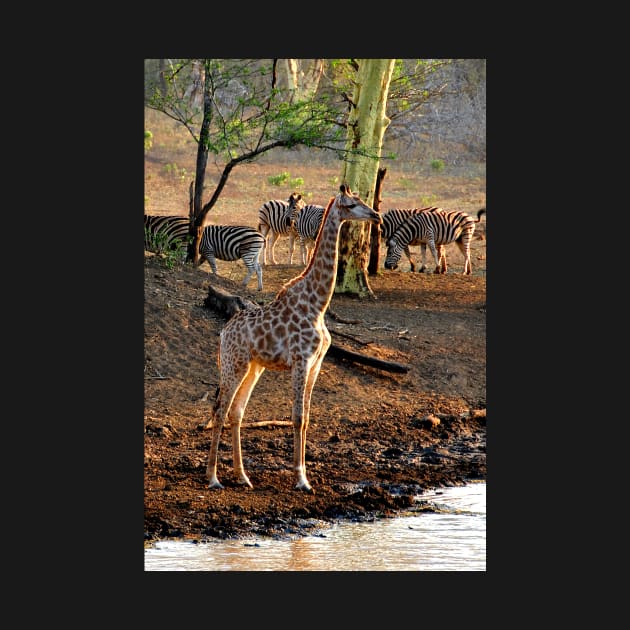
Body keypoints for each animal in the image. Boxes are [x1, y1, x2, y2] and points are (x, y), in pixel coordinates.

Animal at [206, 185, 380, 496]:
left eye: (361, 199)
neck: (317, 304)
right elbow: (297, 417)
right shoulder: (301, 361)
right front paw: (301, 479)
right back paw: (213, 477)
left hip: (254, 367)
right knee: (220, 409)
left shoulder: (316, 364)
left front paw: (304, 476)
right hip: (234, 364)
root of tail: (224, 333)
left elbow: (307, 418)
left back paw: (243, 477)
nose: (375, 215)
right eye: (351, 204)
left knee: (236, 411)